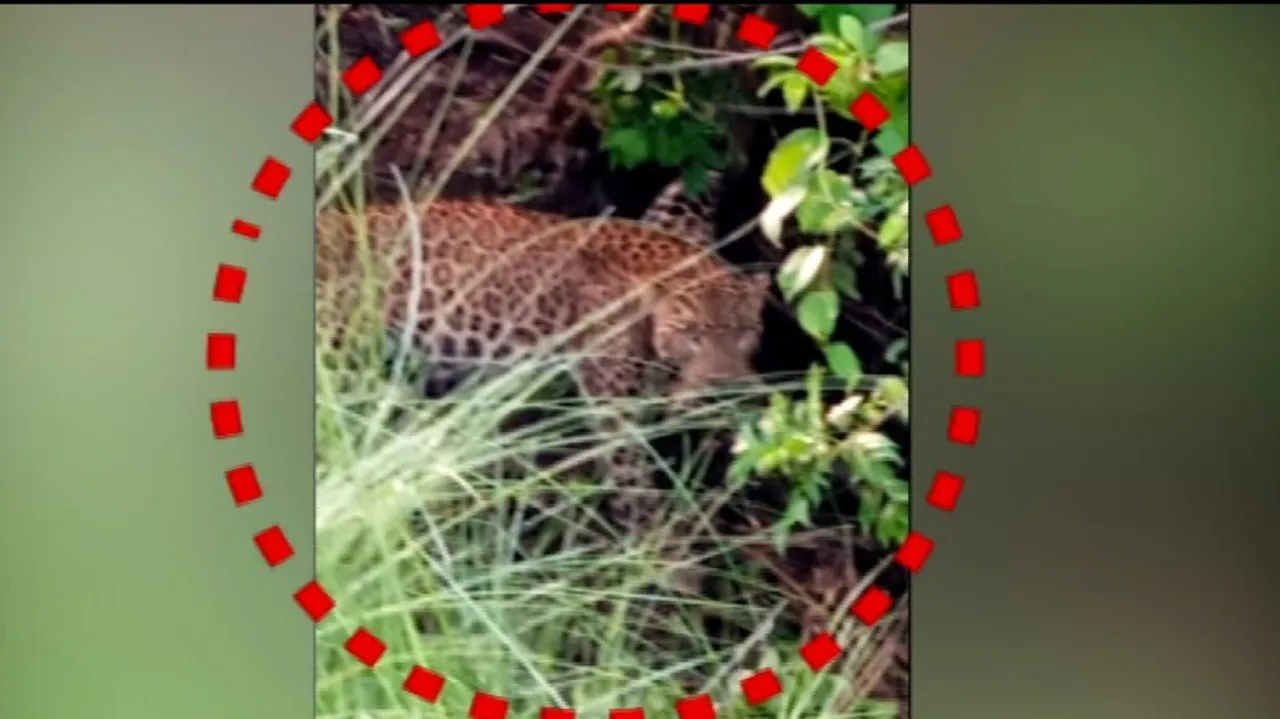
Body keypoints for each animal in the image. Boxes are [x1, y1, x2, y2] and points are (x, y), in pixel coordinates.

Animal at [315, 173, 770, 538]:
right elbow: (636, 490)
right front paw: (666, 567)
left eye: (746, 332)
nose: (723, 388)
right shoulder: (614, 413)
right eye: (691, 335)